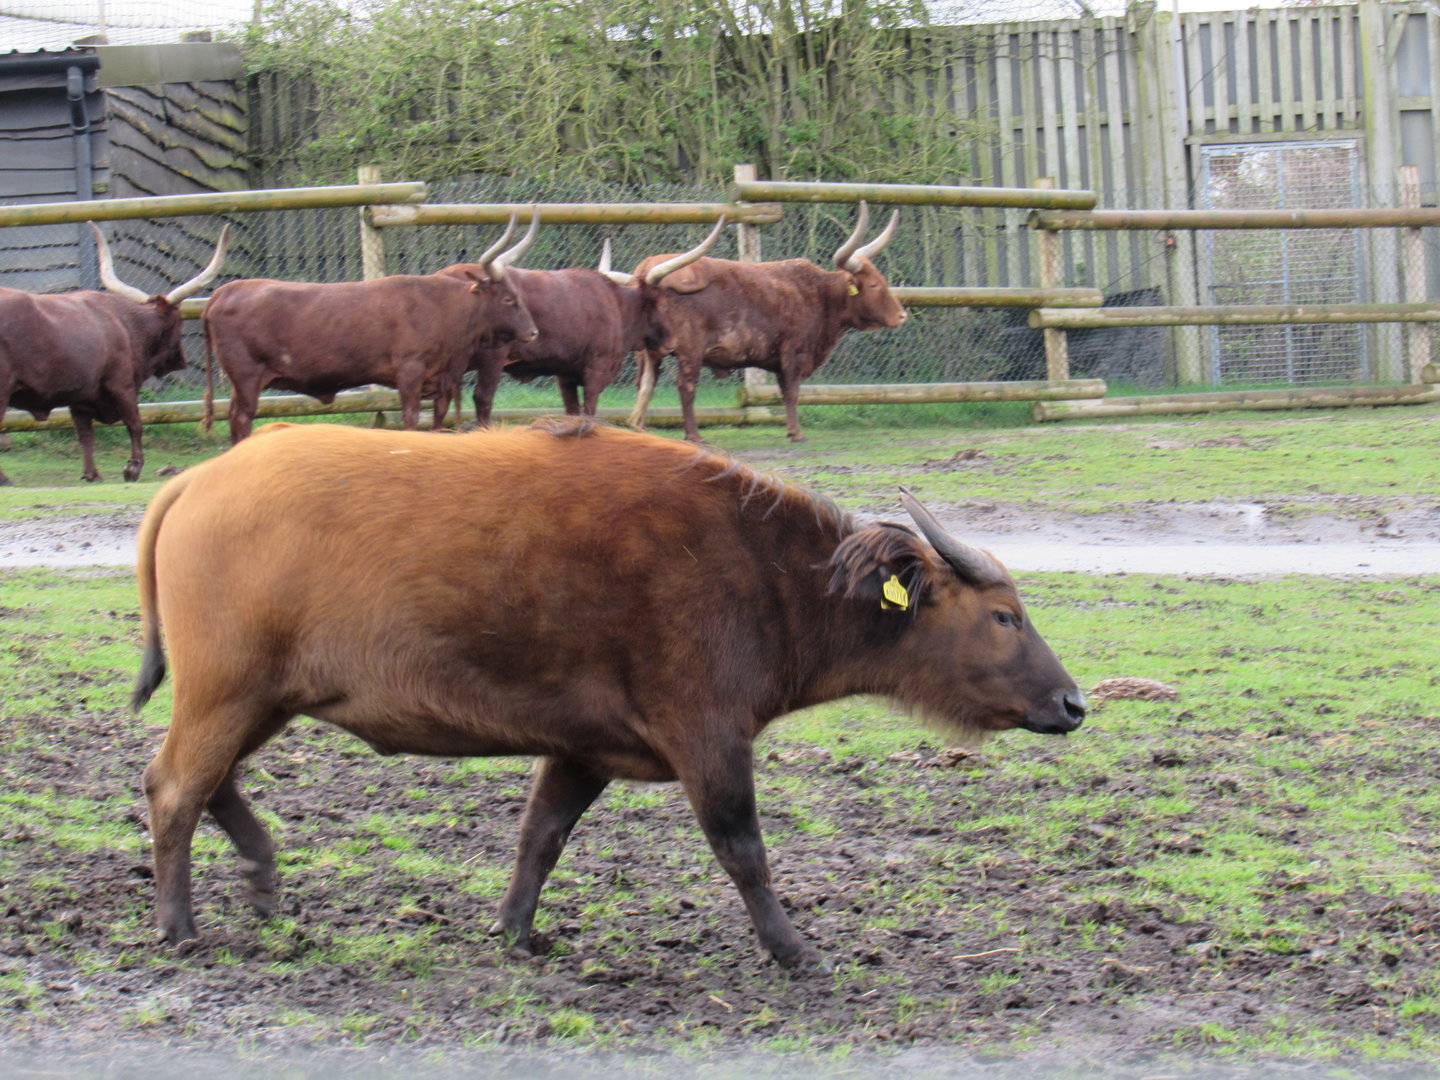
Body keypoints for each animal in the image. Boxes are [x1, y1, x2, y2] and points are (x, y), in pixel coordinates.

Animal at [0, 222, 229, 485]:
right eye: (179, 322)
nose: (180, 361)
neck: (127, 324)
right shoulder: (122, 385)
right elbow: (135, 423)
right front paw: (133, 468)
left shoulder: (80, 398)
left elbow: (85, 434)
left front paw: (91, 474)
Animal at [131, 418, 1085, 969]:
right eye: (1005, 615)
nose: (1074, 704)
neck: (760, 569)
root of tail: (198, 479)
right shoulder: (709, 738)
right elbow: (743, 848)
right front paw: (795, 950)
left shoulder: (582, 750)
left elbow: (540, 838)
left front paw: (517, 932)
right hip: (225, 692)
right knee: (175, 786)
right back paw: (178, 927)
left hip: (262, 699)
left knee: (212, 783)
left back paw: (262, 880)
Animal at [200, 214, 539, 442]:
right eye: (508, 299)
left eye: (518, 295)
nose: (533, 332)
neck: (442, 306)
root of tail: (225, 291)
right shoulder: (410, 371)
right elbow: (411, 417)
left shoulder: (442, 379)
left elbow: (438, 418)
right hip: (246, 375)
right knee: (241, 418)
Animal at [433, 219, 725, 426]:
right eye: (661, 303)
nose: (672, 342)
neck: (617, 306)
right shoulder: (597, 368)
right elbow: (590, 410)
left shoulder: (565, 374)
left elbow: (573, 412)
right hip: (491, 360)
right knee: (483, 400)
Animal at [627, 201, 908, 443]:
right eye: (874, 284)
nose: (902, 315)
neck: (818, 294)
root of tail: (646, 273)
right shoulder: (794, 352)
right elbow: (791, 392)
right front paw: (797, 433)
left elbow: (785, 392)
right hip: (690, 351)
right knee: (685, 386)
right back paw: (694, 435)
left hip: (649, 354)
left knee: (645, 385)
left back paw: (641, 429)